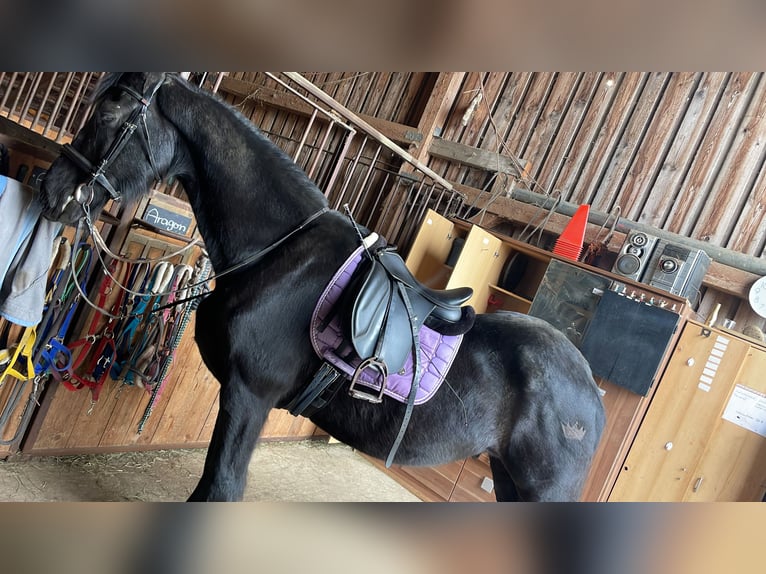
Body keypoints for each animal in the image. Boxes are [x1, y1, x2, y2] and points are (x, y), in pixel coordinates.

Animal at [38, 73, 605, 501]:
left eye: (111, 114)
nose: (52, 190)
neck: (278, 257)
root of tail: (592, 394)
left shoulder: (248, 396)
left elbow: (220, 488)